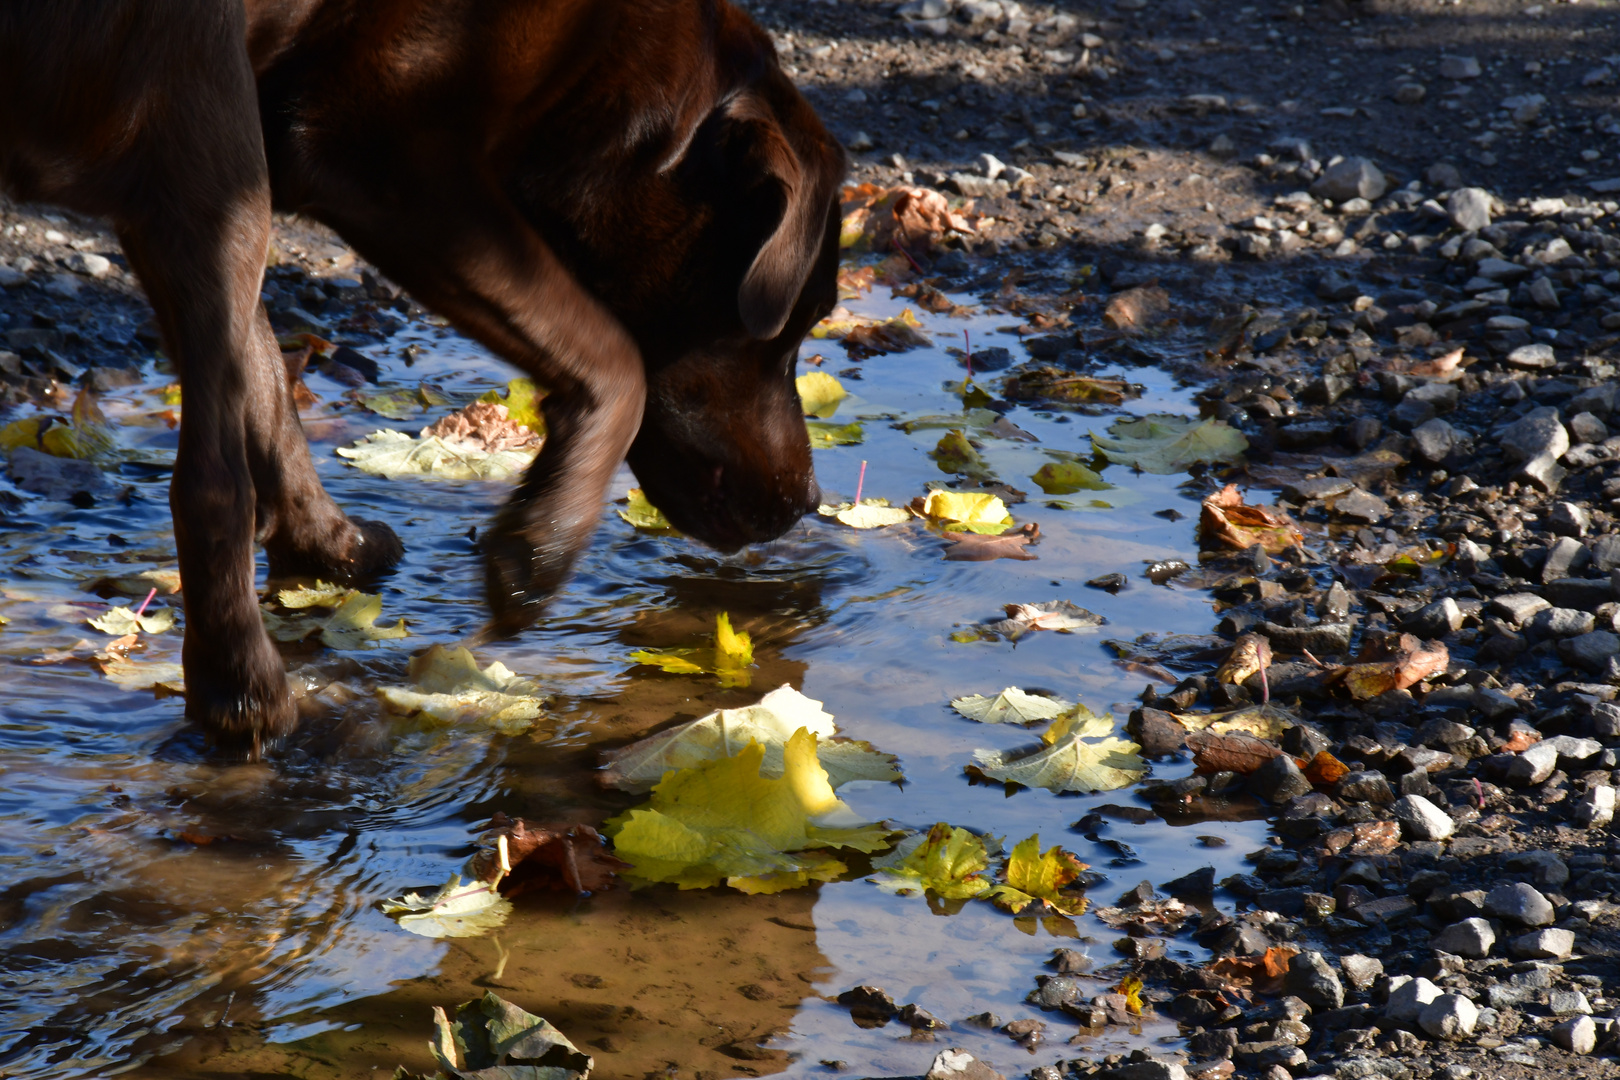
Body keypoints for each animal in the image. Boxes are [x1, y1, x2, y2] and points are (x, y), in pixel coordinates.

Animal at [0, 0, 842, 748]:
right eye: (801, 319)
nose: (810, 500)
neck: (608, 57)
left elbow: (265, 377)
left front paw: (329, 545)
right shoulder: (389, 159)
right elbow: (616, 359)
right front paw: (540, 545)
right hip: (207, 115)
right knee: (210, 481)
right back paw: (242, 691)